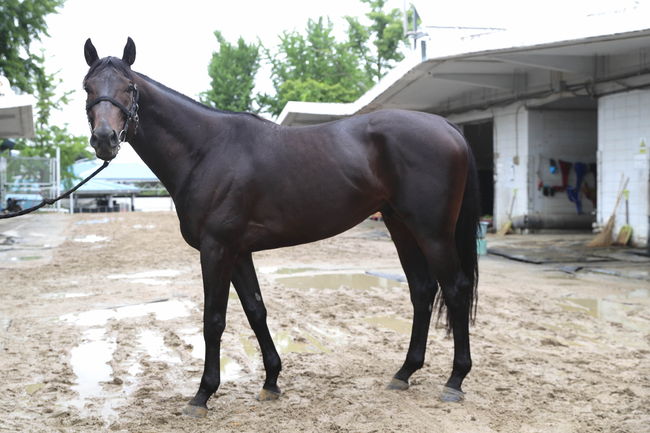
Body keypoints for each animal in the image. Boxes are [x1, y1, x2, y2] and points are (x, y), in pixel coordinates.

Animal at [81, 38, 478, 416]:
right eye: (87, 87)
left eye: (130, 87)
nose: (104, 139)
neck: (207, 150)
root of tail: (446, 126)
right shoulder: (238, 252)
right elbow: (256, 311)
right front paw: (271, 380)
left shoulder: (216, 249)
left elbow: (214, 319)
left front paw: (203, 394)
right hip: (401, 225)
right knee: (422, 291)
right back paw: (404, 372)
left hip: (432, 232)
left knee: (455, 290)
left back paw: (455, 380)